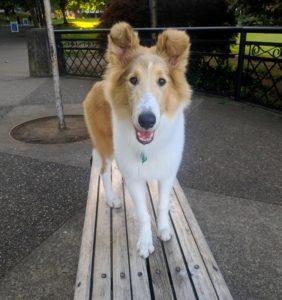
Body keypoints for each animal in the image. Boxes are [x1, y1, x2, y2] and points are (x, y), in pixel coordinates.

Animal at [83, 22, 192, 258]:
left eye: (162, 81)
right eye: (133, 80)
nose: (147, 121)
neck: (148, 147)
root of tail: (98, 84)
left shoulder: (167, 174)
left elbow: (162, 205)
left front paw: (164, 230)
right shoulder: (134, 178)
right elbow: (143, 214)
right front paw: (145, 243)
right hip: (106, 146)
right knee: (103, 171)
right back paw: (112, 199)